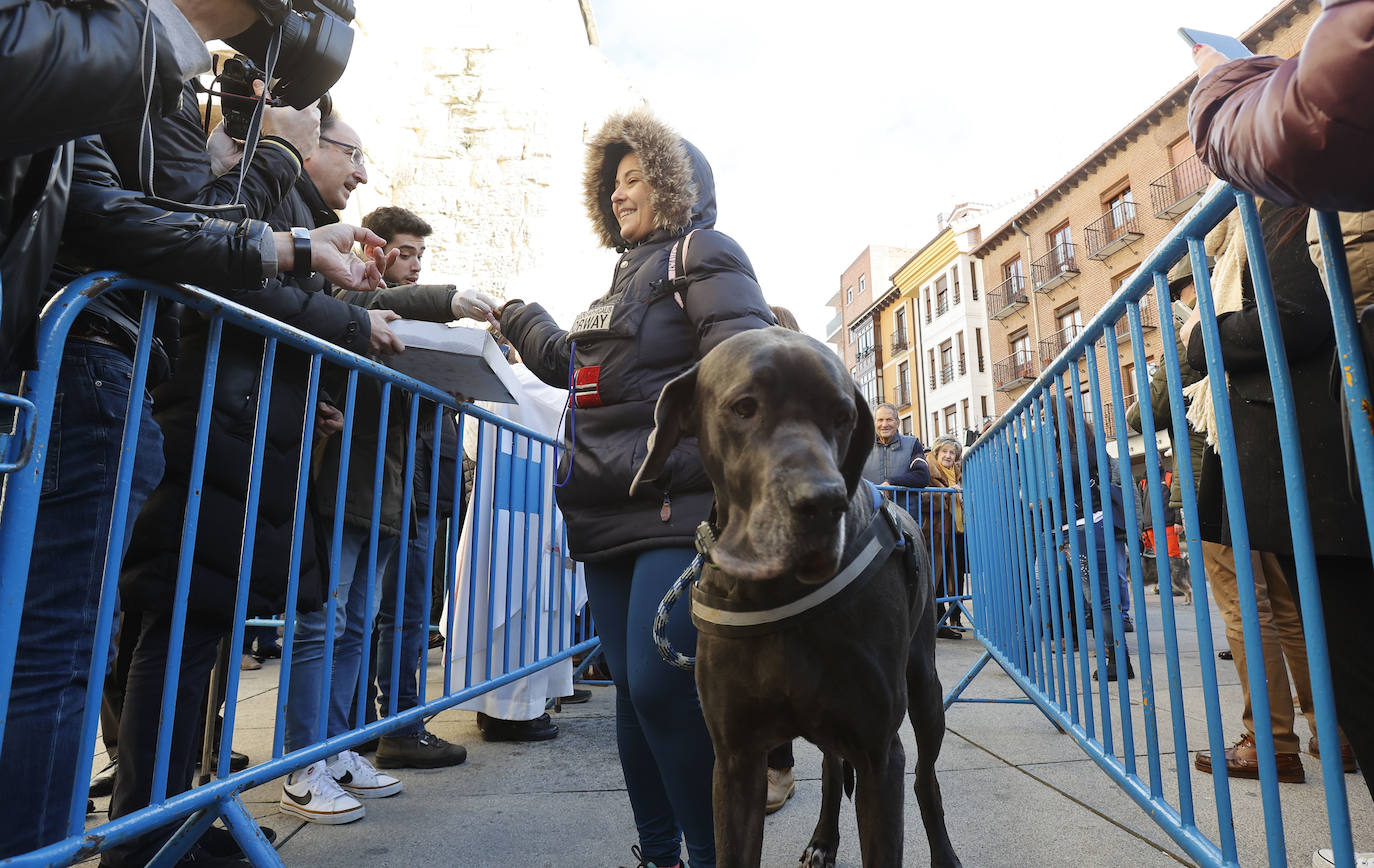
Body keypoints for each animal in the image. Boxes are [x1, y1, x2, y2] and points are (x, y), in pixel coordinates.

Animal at [629, 326, 961, 868]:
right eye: (744, 406)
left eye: (843, 416)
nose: (823, 503)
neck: (775, 592)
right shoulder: (736, 760)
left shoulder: (879, 754)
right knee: (830, 769)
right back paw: (823, 839)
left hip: (926, 692)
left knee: (925, 780)